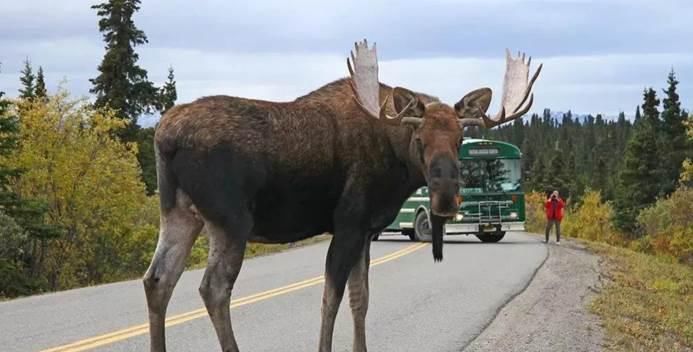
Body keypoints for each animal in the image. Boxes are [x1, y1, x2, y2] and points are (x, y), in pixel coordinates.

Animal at [143, 39, 544, 352]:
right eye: (419, 139)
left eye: (460, 139)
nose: (445, 198)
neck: (395, 162)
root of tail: (164, 136)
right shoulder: (349, 223)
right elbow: (330, 300)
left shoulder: (365, 231)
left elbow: (360, 299)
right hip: (231, 220)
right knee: (213, 288)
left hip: (180, 214)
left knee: (157, 280)